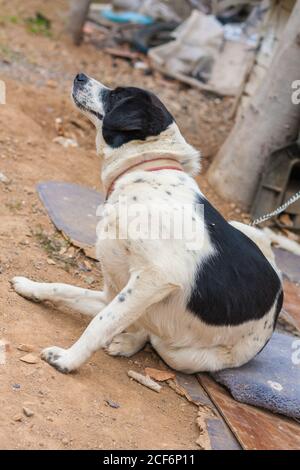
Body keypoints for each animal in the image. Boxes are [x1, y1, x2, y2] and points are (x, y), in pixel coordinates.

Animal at [11, 73, 284, 374]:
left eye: (117, 95)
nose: (80, 76)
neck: (144, 169)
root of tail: (279, 296)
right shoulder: (113, 292)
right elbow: (65, 289)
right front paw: (30, 287)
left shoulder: (155, 278)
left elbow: (100, 323)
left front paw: (67, 359)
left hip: (184, 355)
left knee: (157, 339)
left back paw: (128, 342)